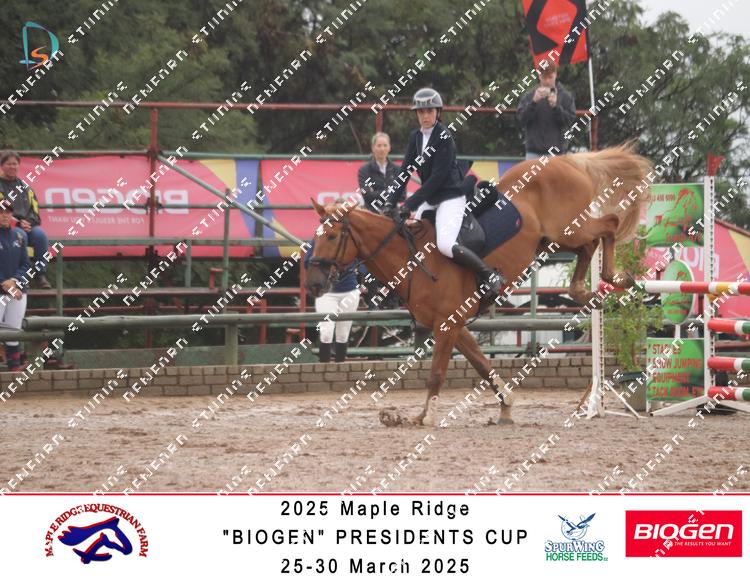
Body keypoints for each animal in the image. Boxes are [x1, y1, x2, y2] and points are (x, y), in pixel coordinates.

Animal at [304, 143, 653, 426]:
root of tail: (564, 160)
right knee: (590, 245)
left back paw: (615, 277)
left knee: (609, 225)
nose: (314, 283)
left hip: (569, 228)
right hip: (557, 237)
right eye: (316, 237)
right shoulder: (453, 326)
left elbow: (437, 373)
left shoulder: (448, 322)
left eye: (332, 236)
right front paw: (505, 406)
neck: (413, 256)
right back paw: (583, 290)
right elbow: (482, 365)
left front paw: (428, 417)